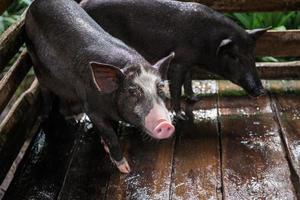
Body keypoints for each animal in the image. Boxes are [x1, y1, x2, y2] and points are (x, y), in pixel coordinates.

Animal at [25, 0, 176, 173]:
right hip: (34, 60)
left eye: (161, 88)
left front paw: (105, 146)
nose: (165, 124)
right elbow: (111, 136)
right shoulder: (91, 108)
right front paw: (125, 169)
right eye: (132, 91)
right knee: (44, 89)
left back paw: (73, 119)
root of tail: (34, 4)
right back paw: (46, 116)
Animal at [81, 0, 268, 119]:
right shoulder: (178, 62)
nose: (260, 90)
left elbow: (188, 80)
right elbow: (176, 87)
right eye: (234, 56)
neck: (205, 42)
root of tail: (83, 4)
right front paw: (180, 116)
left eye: (252, 55)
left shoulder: (189, 63)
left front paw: (195, 98)